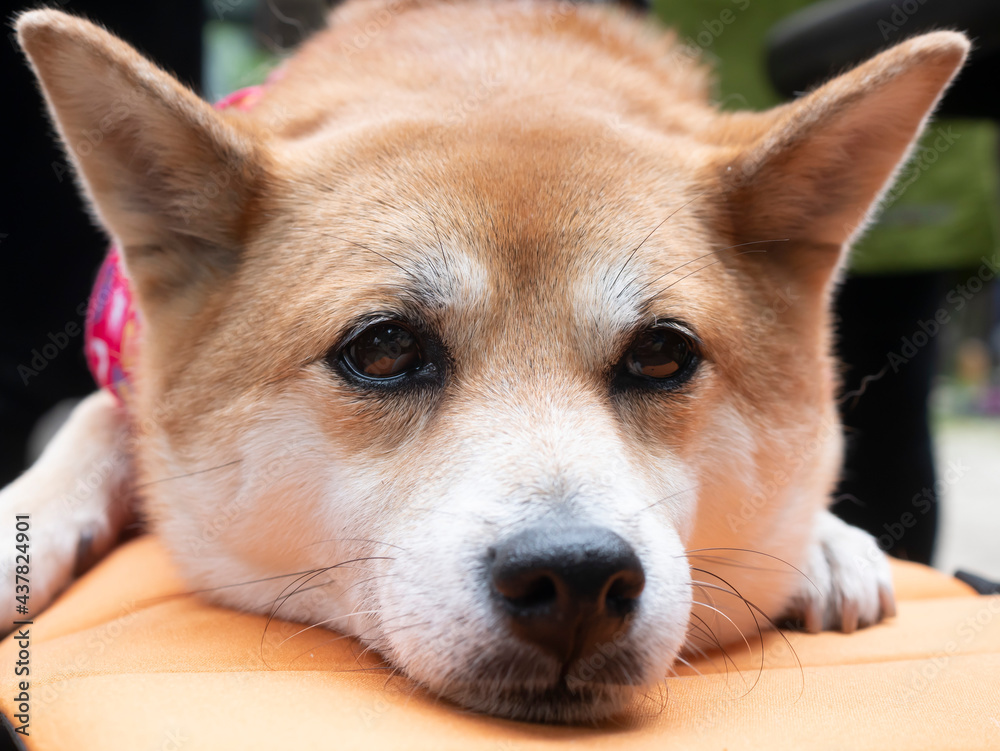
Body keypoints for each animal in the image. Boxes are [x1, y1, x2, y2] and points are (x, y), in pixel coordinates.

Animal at [0, 1, 968, 728]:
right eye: (384, 347)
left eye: (662, 353)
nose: (578, 577)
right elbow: (93, 419)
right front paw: (29, 515)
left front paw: (823, 541)